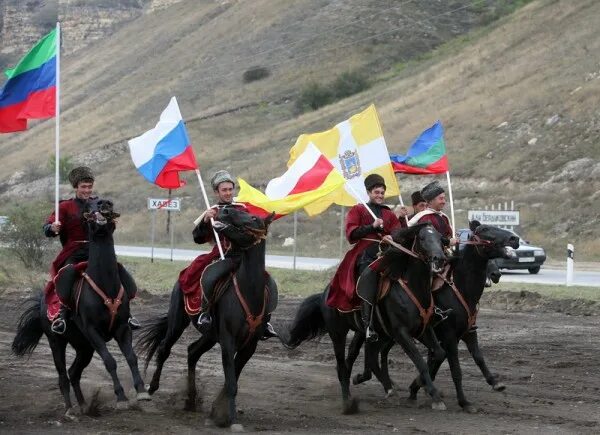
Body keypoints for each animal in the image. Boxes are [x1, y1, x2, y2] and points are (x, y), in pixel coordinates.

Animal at [11, 201, 148, 418]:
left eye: (107, 205)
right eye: (90, 212)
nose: (104, 204)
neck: (105, 285)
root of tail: (42, 303)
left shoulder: (122, 328)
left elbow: (131, 357)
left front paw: (142, 391)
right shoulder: (93, 331)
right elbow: (110, 361)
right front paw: (121, 398)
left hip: (84, 348)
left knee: (74, 373)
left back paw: (84, 405)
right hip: (57, 342)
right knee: (62, 375)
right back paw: (70, 409)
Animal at [137, 208, 276, 430]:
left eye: (253, 217)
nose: (224, 210)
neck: (249, 291)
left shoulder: (249, 345)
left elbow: (232, 378)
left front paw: (218, 411)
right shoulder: (228, 341)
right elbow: (231, 383)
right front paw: (231, 420)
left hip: (210, 336)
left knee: (192, 352)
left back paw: (191, 400)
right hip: (178, 322)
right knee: (164, 349)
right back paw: (151, 389)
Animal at [284, 225, 448, 416]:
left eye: (440, 238)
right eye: (422, 238)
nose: (440, 258)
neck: (412, 288)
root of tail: (325, 294)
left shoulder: (423, 329)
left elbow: (439, 353)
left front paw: (420, 385)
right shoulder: (401, 333)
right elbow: (420, 361)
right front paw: (435, 397)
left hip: (369, 334)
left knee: (363, 360)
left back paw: (386, 388)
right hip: (338, 333)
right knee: (343, 365)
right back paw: (348, 402)